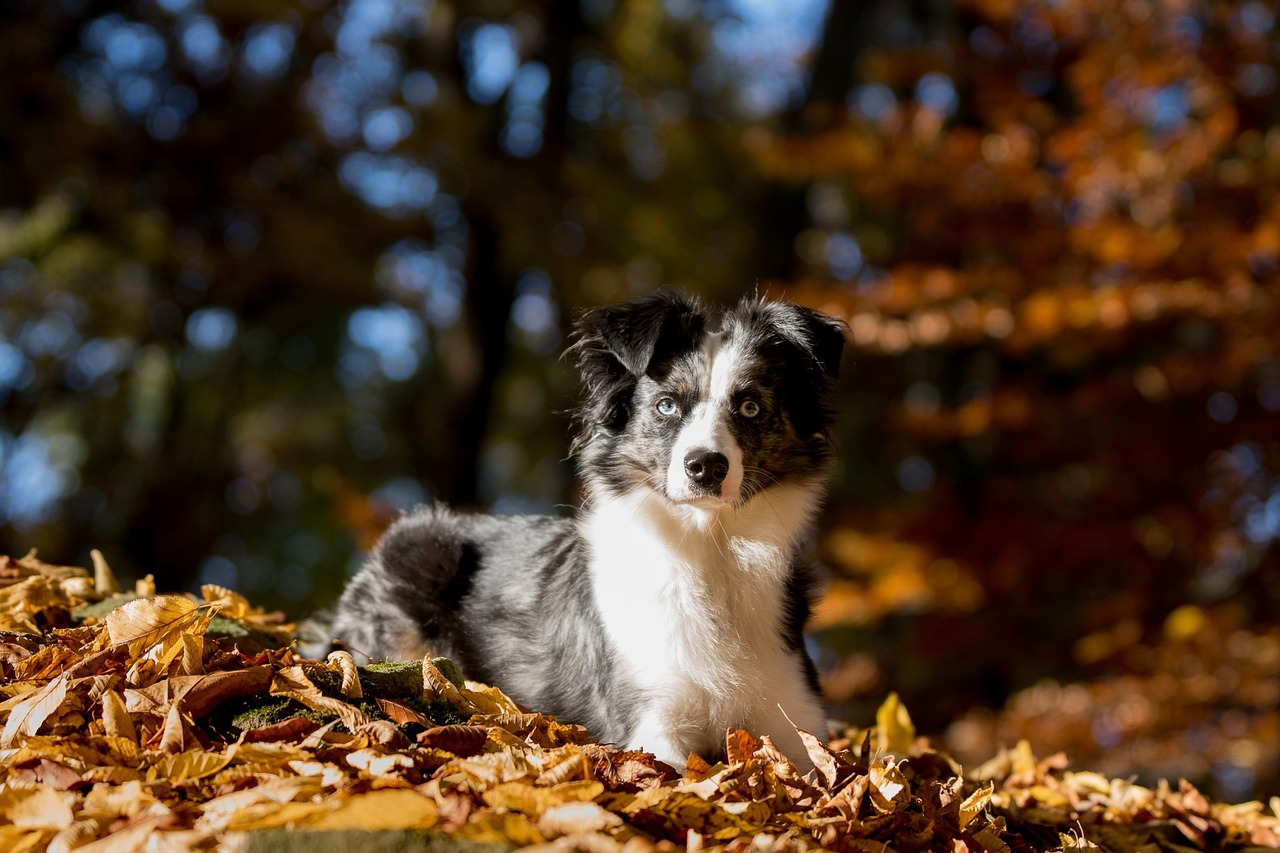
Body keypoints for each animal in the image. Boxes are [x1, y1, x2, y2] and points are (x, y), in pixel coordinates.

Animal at [330, 290, 849, 763]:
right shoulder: (650, 721)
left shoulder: (797, 718)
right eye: (665, 406)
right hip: (425, 550)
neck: (708, 545)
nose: (706, 466)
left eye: (750, 408)